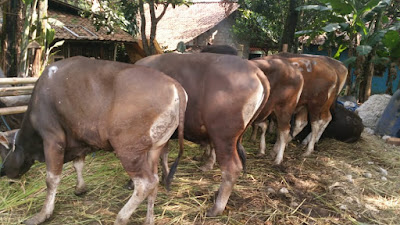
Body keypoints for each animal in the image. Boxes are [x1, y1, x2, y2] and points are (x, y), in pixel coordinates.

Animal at [0, 56, 188, 225]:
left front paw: (43, 214)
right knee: (154, 182)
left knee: (146, 183)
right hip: (155, 148)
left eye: (3, 151)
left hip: (128, 150)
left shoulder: (53, 139)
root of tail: (175, 85)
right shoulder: (80, 141)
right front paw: (80, 188)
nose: (4, 172)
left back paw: (121, 218)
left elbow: (51, 179)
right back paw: (149, 220)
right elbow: (78, 164)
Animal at [136, 52, 270, 216]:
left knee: (231, 169)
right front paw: (165, 177)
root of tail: (255, 71)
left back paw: (216, 208)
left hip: (223, 138)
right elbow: (163, 155)